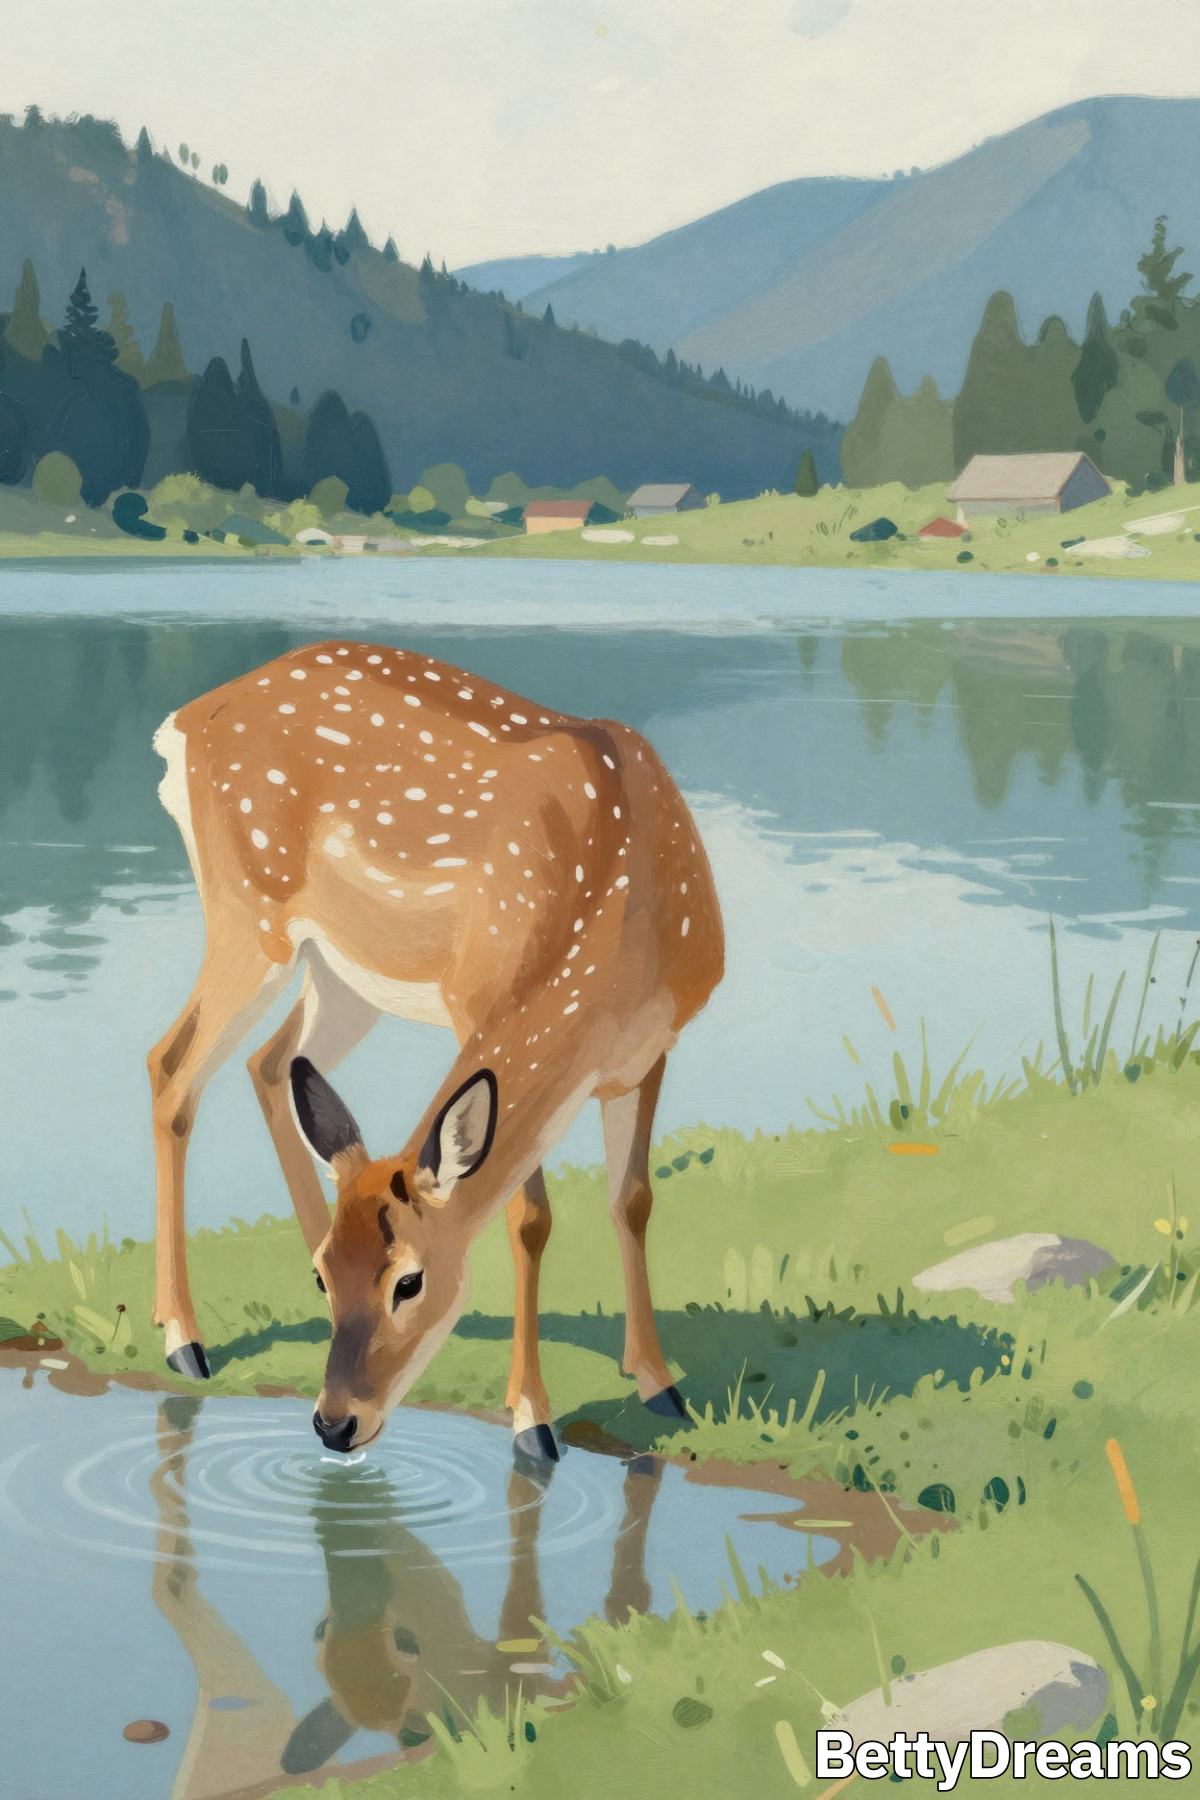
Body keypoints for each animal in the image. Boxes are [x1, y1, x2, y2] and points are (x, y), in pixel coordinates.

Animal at [148, 638, 723, 1461]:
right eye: (333, 1280)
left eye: (407, 1282)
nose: (333, 1424)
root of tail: (183, 725)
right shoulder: (476, 1005)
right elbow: (530, 1221)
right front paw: (533, 1421)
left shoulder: (649, 1050)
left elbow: (633, 1199)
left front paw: (659, 1384)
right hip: (248, 914)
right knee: (172, 1064)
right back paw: (184, 1341)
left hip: (338, 972)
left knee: (269, 1062)